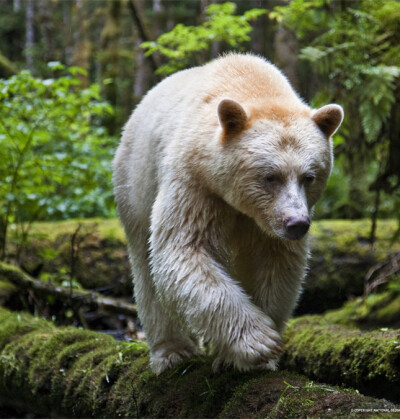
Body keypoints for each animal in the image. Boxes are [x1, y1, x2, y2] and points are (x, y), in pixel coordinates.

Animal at [113, 53, 344, 378]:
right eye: (270, 176)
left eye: (309, 176)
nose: (296, 223)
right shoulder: (195, 183)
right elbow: (184, 250)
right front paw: (258, 341)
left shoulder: (266, 226)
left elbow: (276, 266)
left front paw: (245, 357)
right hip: (136, 183)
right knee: (146, 268)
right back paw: (172, 351)